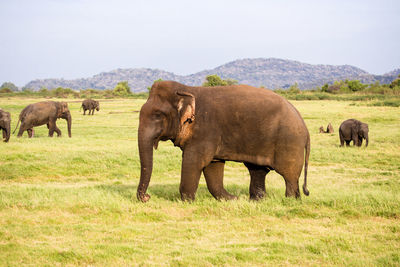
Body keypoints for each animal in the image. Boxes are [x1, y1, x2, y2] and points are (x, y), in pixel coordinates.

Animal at [136, 80, 310, 203]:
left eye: (158, 115)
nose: (147, 197)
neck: (187, 89)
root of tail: (304, 127)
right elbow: (213, 164)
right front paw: (232, 199)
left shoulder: (205, 131)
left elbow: (195, 161)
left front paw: (187, 202)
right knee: (257, 170)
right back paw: (256, 201)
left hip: (289, 142)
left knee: (289, 175)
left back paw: (290, 201)